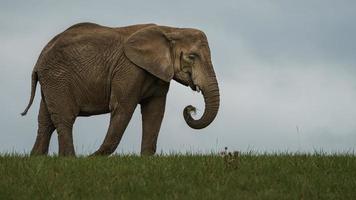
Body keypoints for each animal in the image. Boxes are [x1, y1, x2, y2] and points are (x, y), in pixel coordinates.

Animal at [21, 22, 220, 156]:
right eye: (192, 57)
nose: (191, 108)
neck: (171, 29)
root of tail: (39, 59)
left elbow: (155, 112)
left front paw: (145, 160)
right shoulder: (129, 69)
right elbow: (123, 108)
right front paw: (93, 158)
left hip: (52, 81)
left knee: (45, 121)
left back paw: (37, 159)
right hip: (58, 77)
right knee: (65, 118)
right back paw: (70, 160)